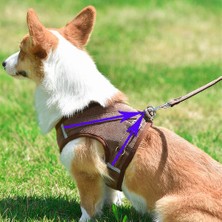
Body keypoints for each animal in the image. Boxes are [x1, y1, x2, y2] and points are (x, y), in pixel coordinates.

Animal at [2, 5, 222, 222]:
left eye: (21, 50)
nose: (3, 63)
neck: (84, 106)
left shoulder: (85, 172)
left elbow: (88, 206)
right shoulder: (105, 172)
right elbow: (109, 195)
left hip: (167, 207)